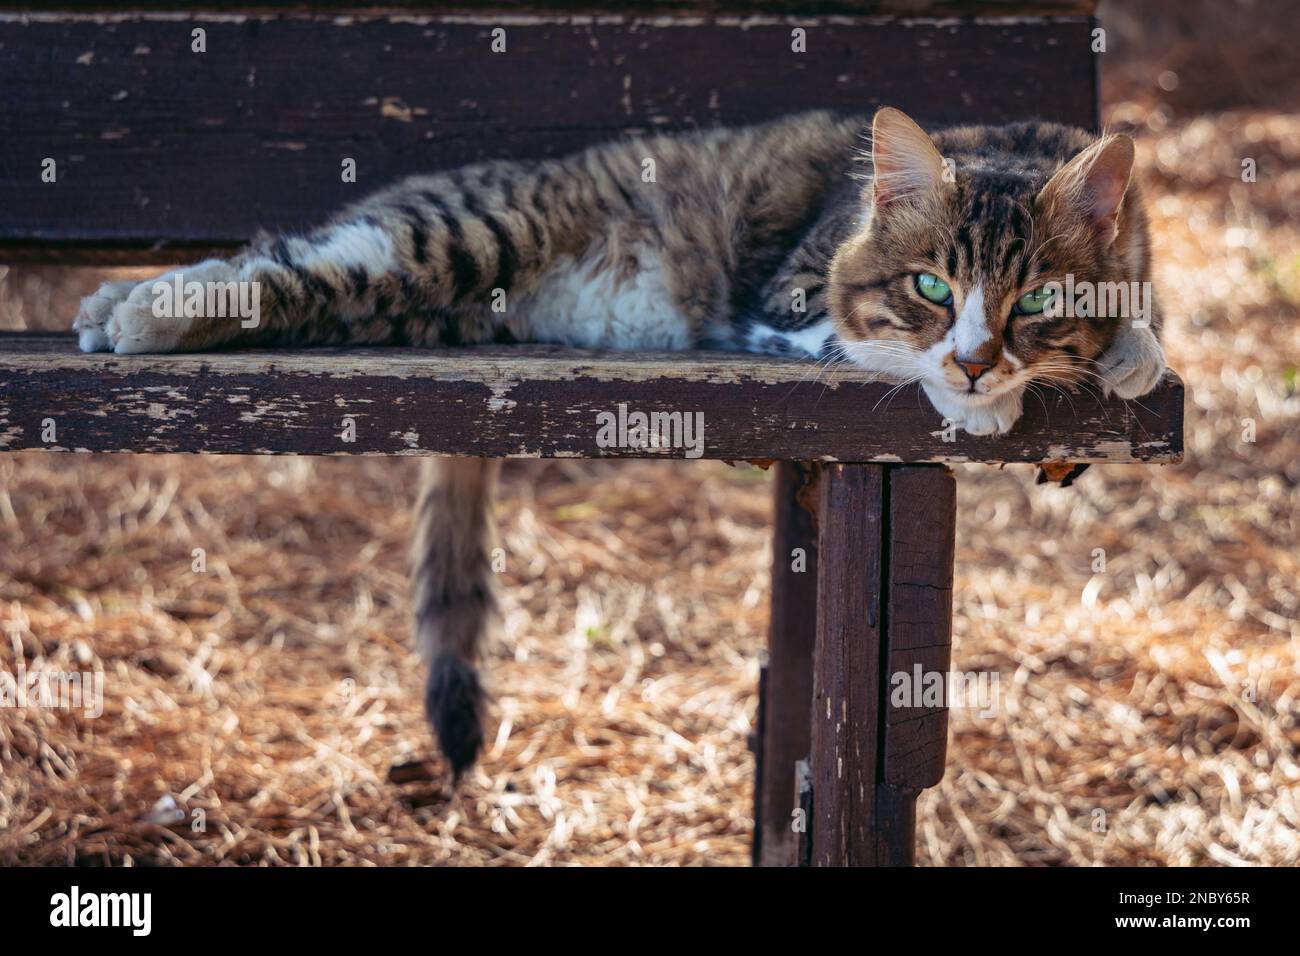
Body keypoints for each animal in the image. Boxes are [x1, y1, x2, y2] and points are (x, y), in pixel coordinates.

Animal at [71, 106, 1170, 780]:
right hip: (463, 233)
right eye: (932, 286)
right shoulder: (787, 300)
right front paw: (980, 396)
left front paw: (1125, 354)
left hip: (416, 303)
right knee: (280, 260)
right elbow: (874, 344)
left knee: (310, 282)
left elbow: (1134, 318)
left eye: (1036, 301)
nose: (980, 360)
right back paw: (132, 308)